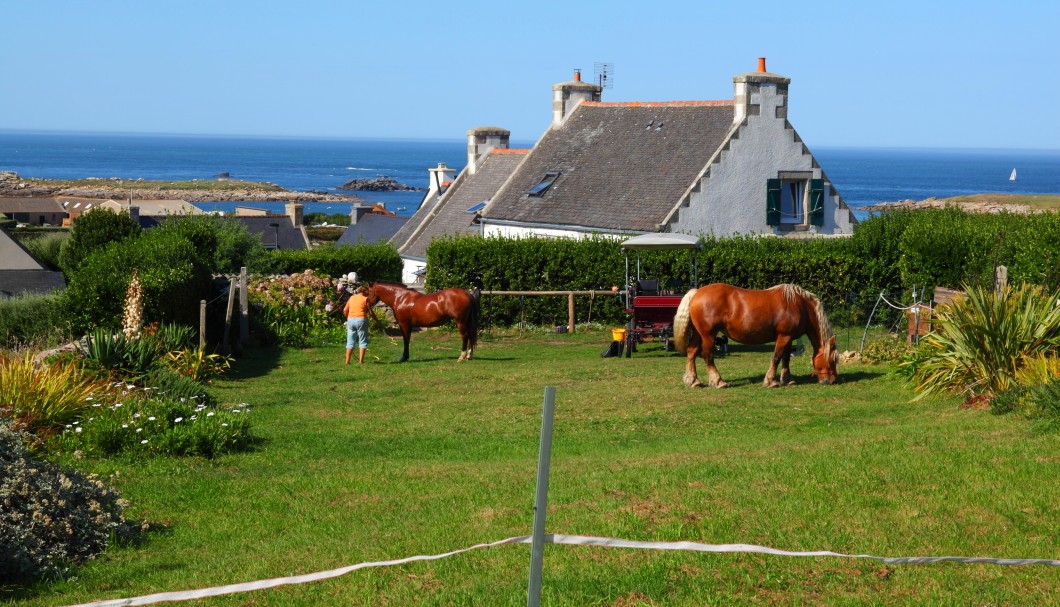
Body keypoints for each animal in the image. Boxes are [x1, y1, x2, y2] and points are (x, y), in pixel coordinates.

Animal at [674, 283, 839, 387]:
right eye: (832, 359)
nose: (832, 380)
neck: (801, 305)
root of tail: (696, 292)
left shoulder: (788, 337)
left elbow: (786, 358)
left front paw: (787, 379)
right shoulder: (784, 336)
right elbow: (777, 357)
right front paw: (771, 381)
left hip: (698, 334)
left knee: (691, 352)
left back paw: (693, 381)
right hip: (709, 335)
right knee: (707, 356)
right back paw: (718, 381)